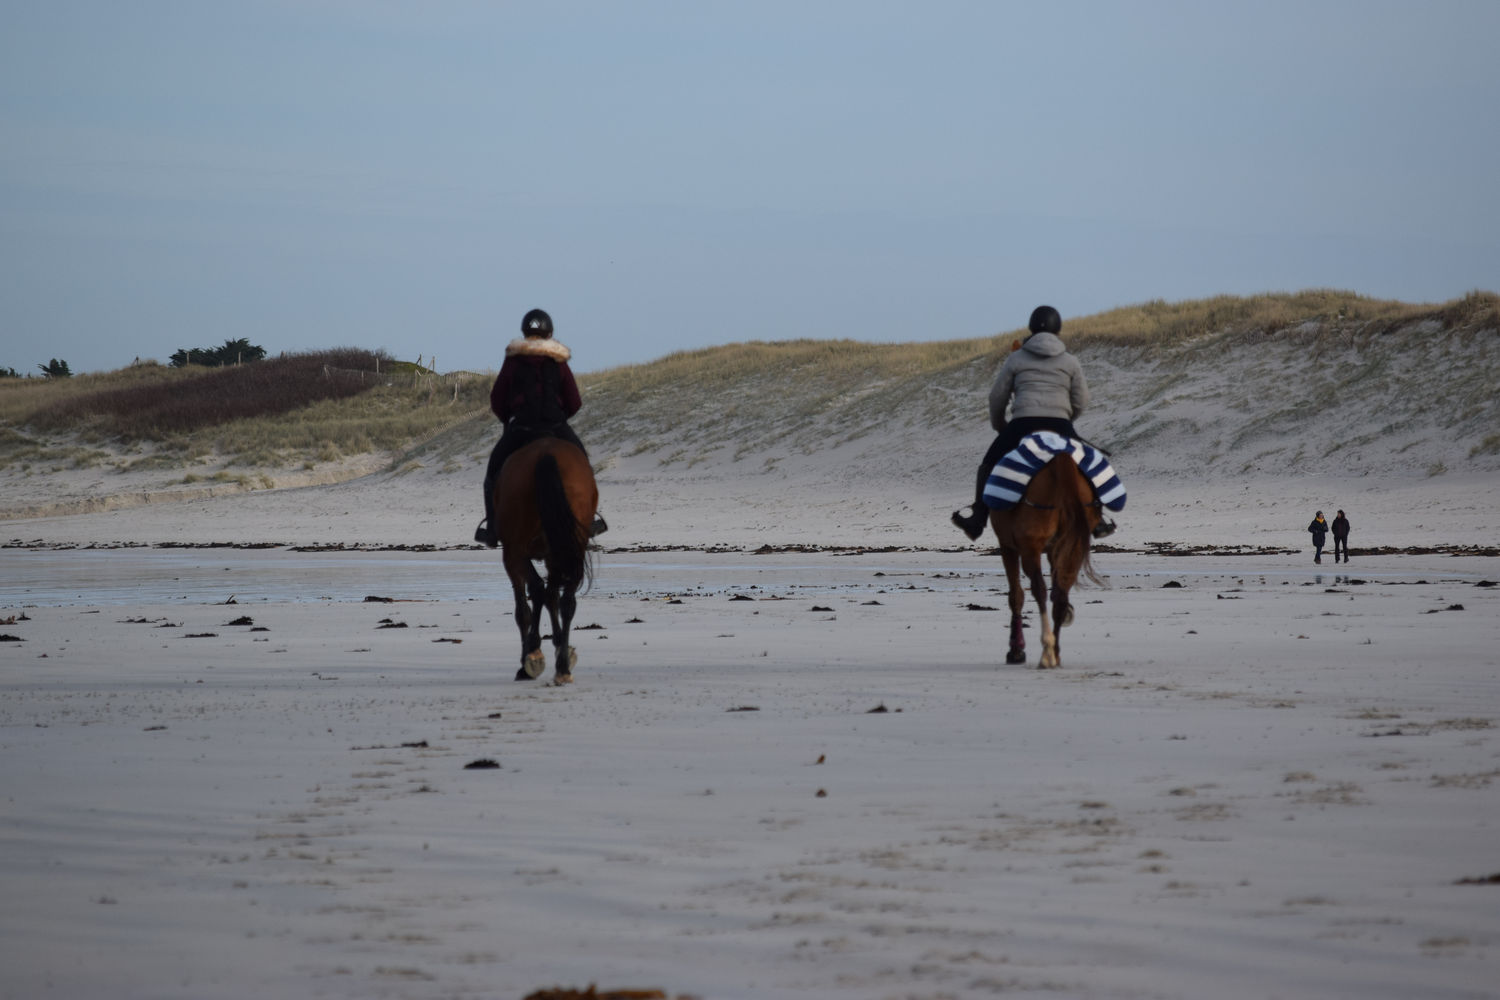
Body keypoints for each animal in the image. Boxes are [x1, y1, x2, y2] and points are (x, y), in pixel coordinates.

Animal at [498, 440, 603, 683]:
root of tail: (547, 451)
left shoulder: (512, 556)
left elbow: (525, 608)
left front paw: (530, 658)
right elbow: (552, 597)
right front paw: (558, 649)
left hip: (516, 549)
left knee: (536, 592)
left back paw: (536, 658)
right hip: (571, 546)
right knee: (567, 601)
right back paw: (562, 667)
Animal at [990, 458, 1110, 668]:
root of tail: (1061, 461)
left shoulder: (1007, 546)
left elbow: (1016, 596)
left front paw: (1016, 651)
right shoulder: (1057, 550)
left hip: (1030, 547)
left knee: (1038, 589)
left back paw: (1047, 650)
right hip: (1073, 547)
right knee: (1060, 594)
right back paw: (1054, 652)